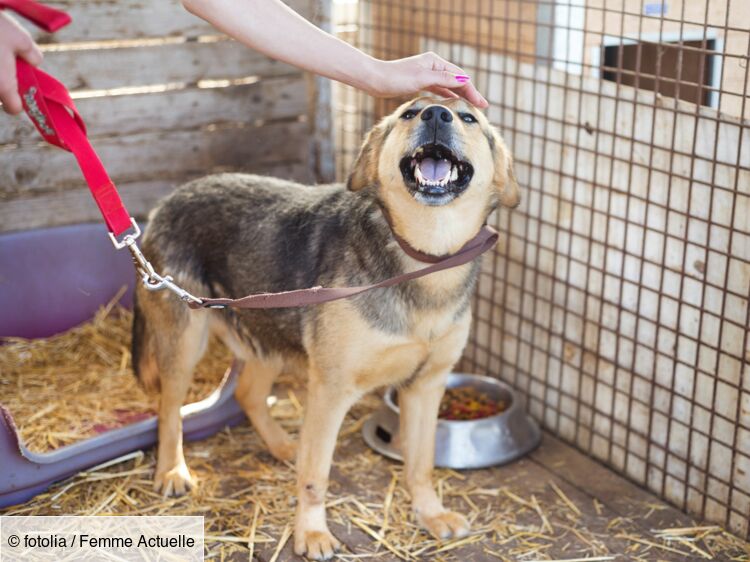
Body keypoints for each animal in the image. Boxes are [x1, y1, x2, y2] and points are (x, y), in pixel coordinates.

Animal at [132, 95, 520, 556]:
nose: (436, 115)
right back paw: (172, 470)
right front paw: (312, 533)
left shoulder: (427, 386)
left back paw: (284, 445)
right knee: (169, 409)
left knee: (247, 393)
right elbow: (316, 475)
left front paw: (431, 513)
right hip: (185, 342)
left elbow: (421, 464)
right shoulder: (331, 390)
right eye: (409, 113)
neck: (425, 259)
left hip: (267, 332)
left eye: (468, 117)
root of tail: (167, 201)